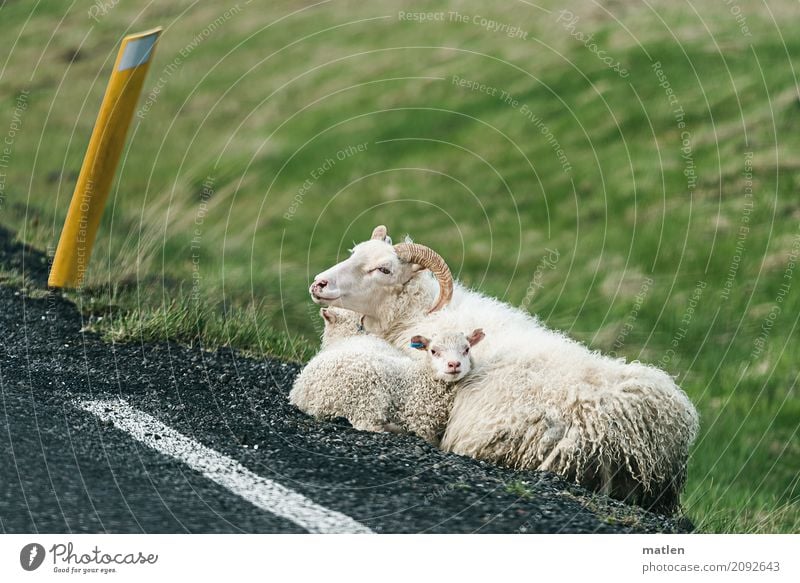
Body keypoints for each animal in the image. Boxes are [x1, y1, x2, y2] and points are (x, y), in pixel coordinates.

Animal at [290, 306, 484, 448]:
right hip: (367, 399)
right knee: (368, 426)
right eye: (434, 351)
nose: (454, 364)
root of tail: (303, 392)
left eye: (466, 349)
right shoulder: (421, 422)